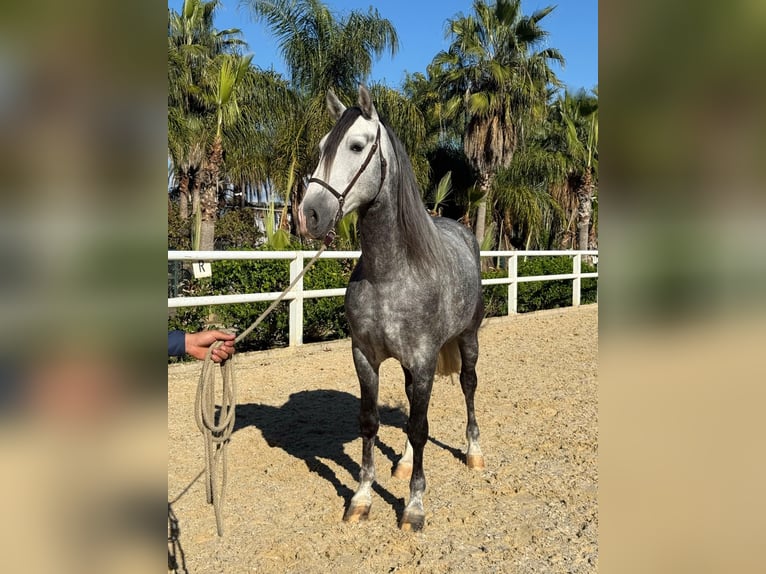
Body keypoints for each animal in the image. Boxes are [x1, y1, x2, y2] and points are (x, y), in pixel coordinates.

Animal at [296, 85, 485, 532]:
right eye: (321, 147)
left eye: (356, 145)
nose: (308, 215)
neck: (391, 274)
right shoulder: (365, 356)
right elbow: (371, 422)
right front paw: (362, 497)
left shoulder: (425, 358)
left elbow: (420, 426)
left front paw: (414, 505)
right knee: (412, 401)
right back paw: (402, 461)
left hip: (468, 338)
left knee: (468, 386)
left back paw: (473, 451)